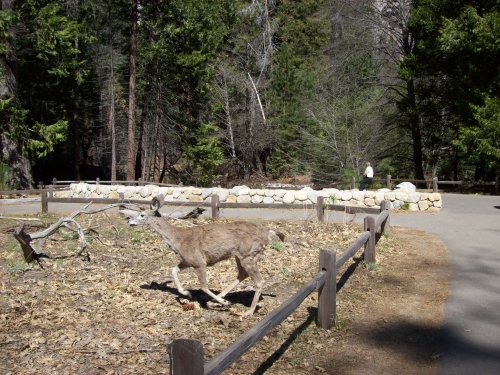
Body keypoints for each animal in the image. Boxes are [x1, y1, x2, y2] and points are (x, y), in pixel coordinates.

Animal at [119, 198, 284, 316]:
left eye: (142, 215)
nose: (129, 221)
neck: (179, 240)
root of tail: (269, 233)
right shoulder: (187, 260)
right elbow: (173, 270)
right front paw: (187, 293)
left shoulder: (199, 262)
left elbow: (203, 286)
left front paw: (224, 303)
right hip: (240, 256)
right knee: (242, 274)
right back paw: (220, 298)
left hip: (249, 254)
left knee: (259, 281)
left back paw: (247, 311)